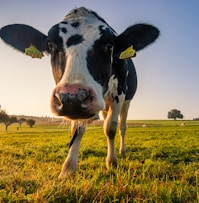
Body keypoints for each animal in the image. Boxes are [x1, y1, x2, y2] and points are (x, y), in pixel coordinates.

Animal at [0, 7, 159, 177]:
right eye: (50, 45)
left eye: (109, 46)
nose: (72, 96)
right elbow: (77, 129)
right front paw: (68, 168)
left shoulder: (119, 95)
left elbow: (110, 128)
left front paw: (112, 162)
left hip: (127, 102)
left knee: (122, 126)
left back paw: (122, 150)